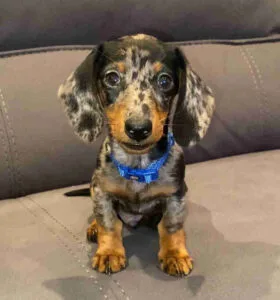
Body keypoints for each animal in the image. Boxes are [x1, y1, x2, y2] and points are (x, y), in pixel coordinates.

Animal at [57, 33, 214, 276]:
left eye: (165, 81)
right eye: (112, 78)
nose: (138, 129)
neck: (138, 168)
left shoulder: (176, 194)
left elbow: (171, 224)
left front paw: (175, 254)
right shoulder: (101, 191)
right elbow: (109, 222)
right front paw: (109, 252)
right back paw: (94, 228)